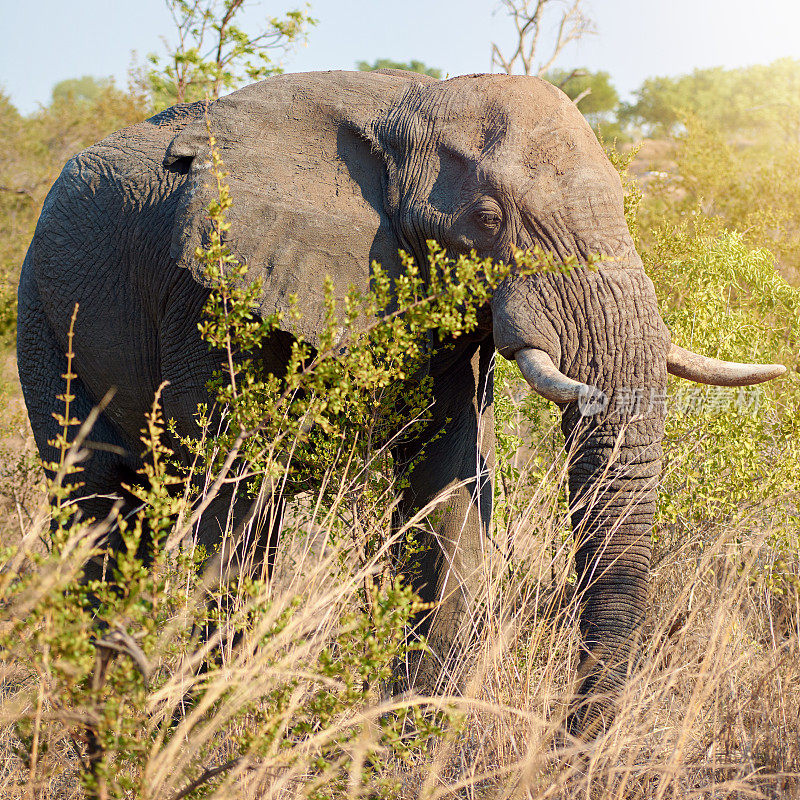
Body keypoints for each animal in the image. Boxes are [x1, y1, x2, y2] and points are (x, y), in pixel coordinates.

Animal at [15, 70, 784, 736]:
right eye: (487, 218)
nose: (572, 744)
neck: (407, 109)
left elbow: (451, 495)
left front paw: (406, 745)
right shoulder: (213, 297)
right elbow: (238, 506)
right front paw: (215, 730)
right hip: (43, 317)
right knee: (94, 510)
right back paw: (94, 721)